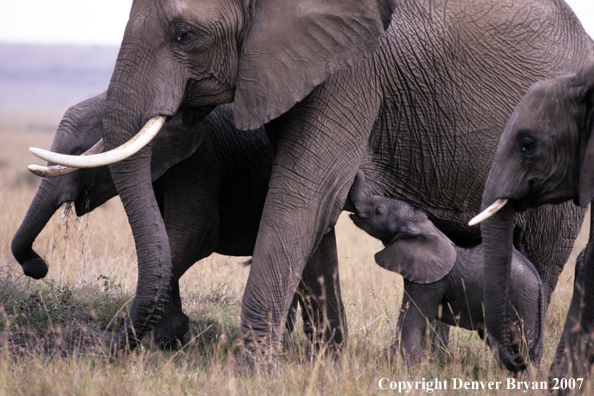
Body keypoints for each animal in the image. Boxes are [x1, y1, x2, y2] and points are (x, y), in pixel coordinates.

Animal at [350, 170, 544, 366]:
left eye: (378, 211)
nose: (359, 171)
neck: (427, 228)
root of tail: (538, 280)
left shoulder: (430, 283)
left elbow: (411, 320)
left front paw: (395, 362)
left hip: (521, 299)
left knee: (520, 342)